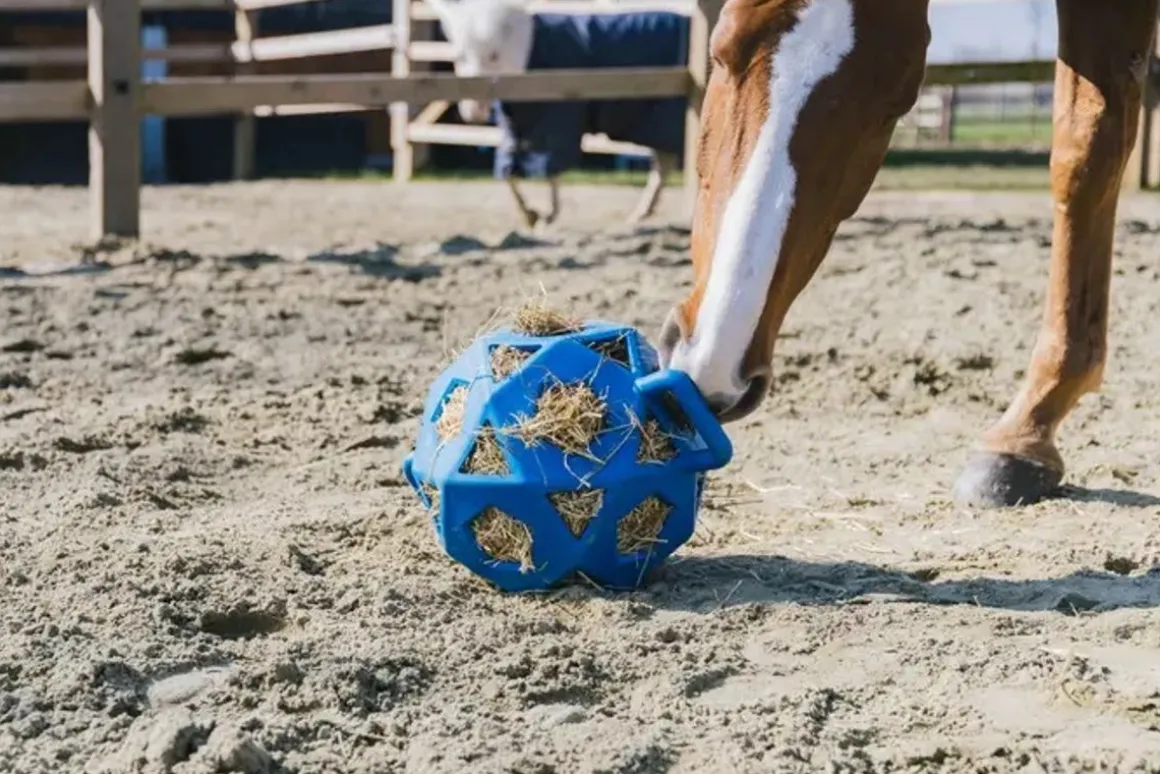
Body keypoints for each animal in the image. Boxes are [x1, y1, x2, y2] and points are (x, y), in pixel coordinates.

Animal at [425, 0, 690, 228]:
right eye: (459, 56)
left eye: (493, 55)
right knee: (663, 164)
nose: (473, 113)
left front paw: (548, 215)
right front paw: (530, 215)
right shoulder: (518, 126)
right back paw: (640, 214)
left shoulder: (555, 122)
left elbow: (550, 169)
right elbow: (510, 170)